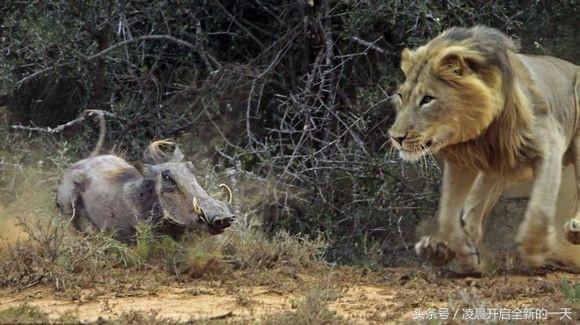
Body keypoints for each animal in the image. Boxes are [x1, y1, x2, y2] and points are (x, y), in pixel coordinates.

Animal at [390, 26, 580, 272]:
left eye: (427, 99)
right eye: (400, 95)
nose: (396, 138)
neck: (479, 133)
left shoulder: (549, 142)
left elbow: (540, 207)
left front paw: (534, 250)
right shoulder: (462, 162)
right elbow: (448, 216)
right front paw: (464, 252)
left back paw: (575, 230)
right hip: (499, 168)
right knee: (473, 210)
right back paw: (438, 249)